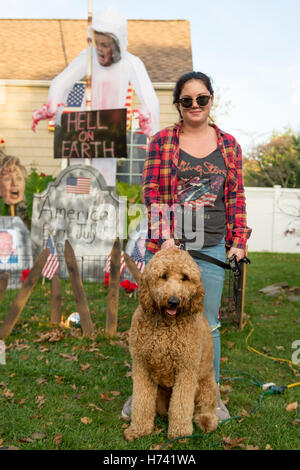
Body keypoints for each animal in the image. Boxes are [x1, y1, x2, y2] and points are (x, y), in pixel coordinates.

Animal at [124, 248, 218, 442]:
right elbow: (141, 402)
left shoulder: (186, 370)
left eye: (185, 278)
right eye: (163, 276)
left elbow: (181, 405)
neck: (166, 326)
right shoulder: (142, 367)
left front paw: (180, 433)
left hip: (206, 386)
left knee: (205, 407)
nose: (174, 301)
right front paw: (139, 430)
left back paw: (206, 420)